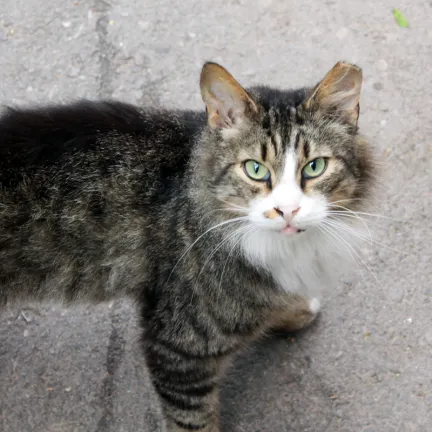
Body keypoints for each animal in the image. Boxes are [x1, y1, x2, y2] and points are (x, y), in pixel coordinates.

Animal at [0, 61, 374, 432]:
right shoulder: (179, 350)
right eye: (255, 169)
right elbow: (195, 421)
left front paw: (291, 310)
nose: (287, 210)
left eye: (315, 167)